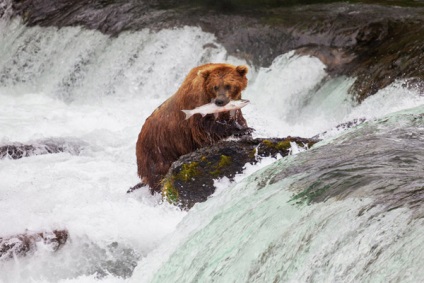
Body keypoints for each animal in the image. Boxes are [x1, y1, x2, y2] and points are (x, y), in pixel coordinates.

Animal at [135, 63, 252, 194]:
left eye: (228, 85)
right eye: (215, 87)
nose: (220, 101)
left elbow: (238, 119)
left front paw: (244, 128)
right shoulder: (197, 109)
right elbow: (207, 128)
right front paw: (241, 130)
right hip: (158, 150)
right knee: (158, 174)